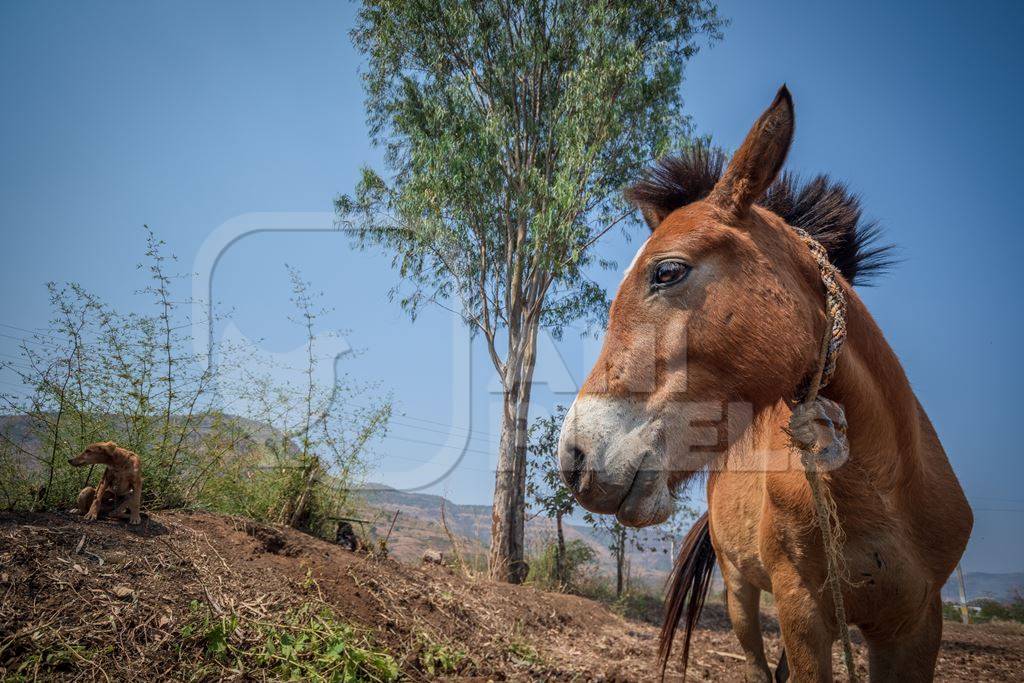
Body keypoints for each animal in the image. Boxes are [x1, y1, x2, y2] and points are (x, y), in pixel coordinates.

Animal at [557, 88, 970, 679]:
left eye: (667, 271)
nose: (574, 457)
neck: (883, 493)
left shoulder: (916, 625)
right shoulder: (801, 611)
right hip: (740, 593)